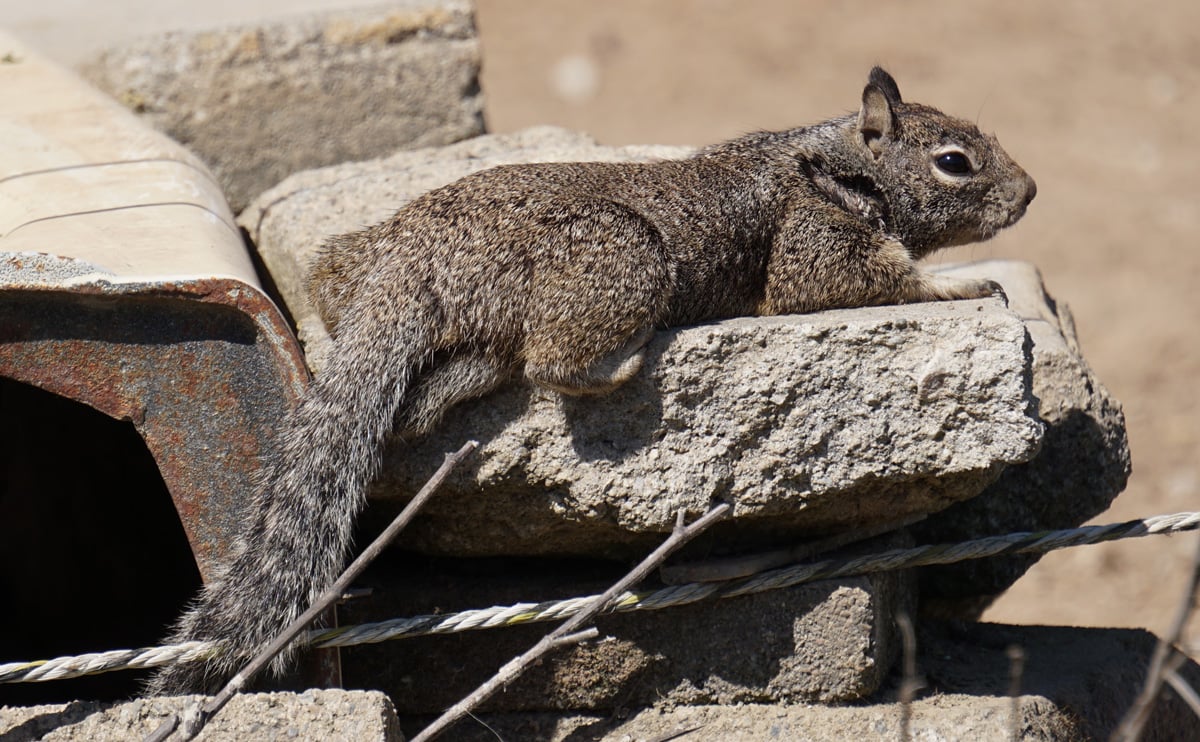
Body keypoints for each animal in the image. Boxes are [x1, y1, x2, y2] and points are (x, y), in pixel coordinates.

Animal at [147, 65, 1032, 691]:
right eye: (955, 162)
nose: (1029, 193)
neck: (837, 162)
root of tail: (407, 272)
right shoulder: (812, 249)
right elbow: (868, 277)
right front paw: (964, 286)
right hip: (624, 257)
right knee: (551, 361)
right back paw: (627, 359)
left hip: (365, 274)